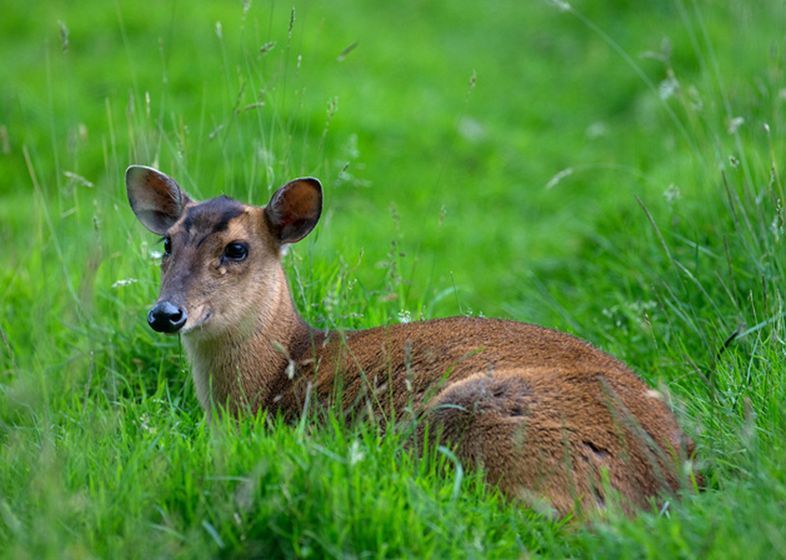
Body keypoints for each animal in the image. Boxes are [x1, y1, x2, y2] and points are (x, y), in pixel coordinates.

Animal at [124, 164, 692, 516]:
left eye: (237, 249)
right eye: (166, 243)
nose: (166, 313)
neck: (281, 370)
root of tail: (669, 482)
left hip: (475, 412)